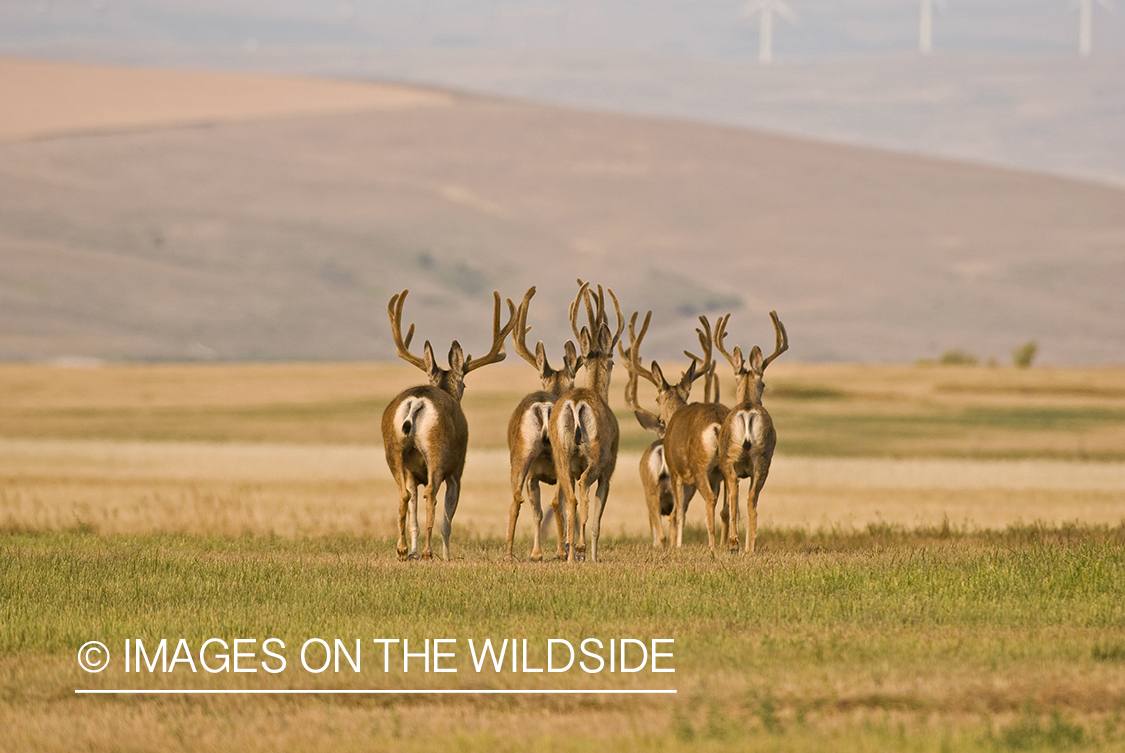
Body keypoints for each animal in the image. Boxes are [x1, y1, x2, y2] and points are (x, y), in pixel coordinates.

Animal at [381, 289, 515, 561]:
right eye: (464, 384)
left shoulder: (412, 473)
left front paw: (412, 551)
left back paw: (402, 550)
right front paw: (446, 555)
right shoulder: (456, 471)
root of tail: (417, 400)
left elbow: (414, 516)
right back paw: (428, 552)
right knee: (431, 494)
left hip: (393, 449)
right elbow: (447, 520)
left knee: (403, 495)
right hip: (437, 450)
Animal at [505, 286, 582, 562]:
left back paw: (510, 554)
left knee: (518, 499)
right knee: (554, 502)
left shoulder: (533, 475)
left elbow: (538, 511)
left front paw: (537, 553)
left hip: (522, 454)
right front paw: (541, 552)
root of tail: (544, 407)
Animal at [548, 280, 624, 563]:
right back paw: (579, 549)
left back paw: (569, 552)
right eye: (612, 361)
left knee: (570, 499)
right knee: (582, 490)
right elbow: (597, 518)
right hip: (596, 457)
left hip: (560, 455)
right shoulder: (608, 471)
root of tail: (576, 402)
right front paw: (592, 554)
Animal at [714, 310, 788, 555]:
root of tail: (747, 412)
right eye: (763, 384)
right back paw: (744, 545)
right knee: (748, 497)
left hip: (739, 459)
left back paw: (739, 544)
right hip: (759, 458)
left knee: (741, 496)